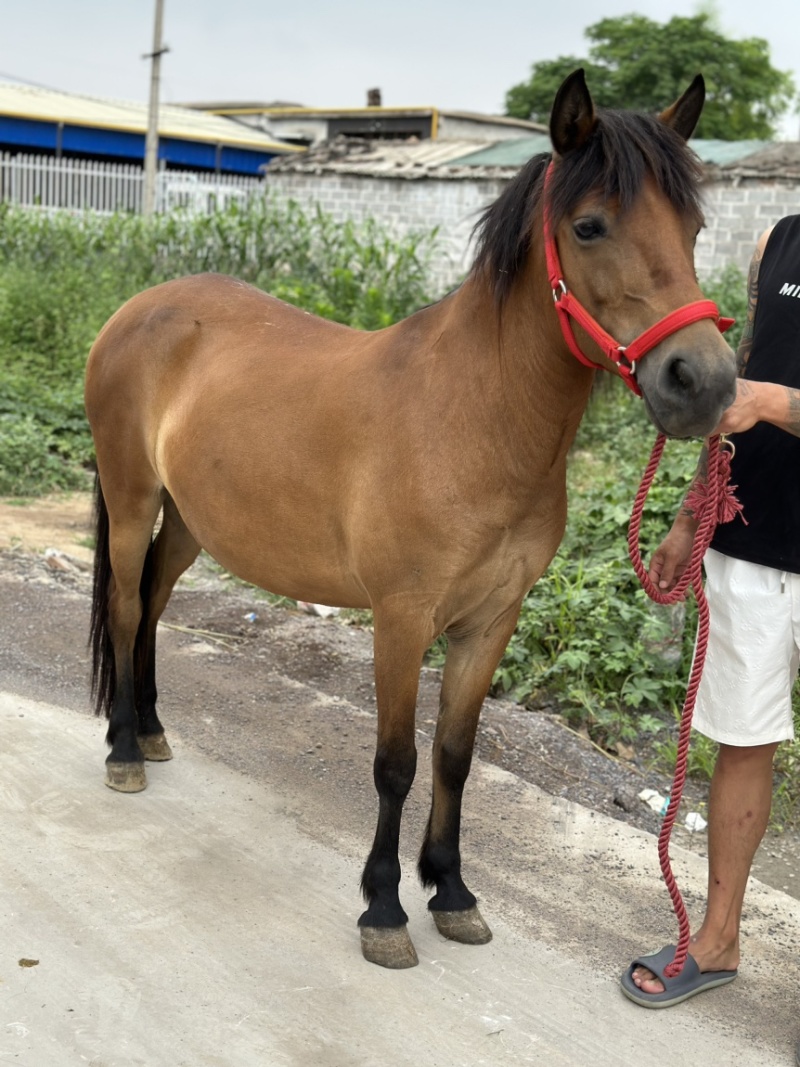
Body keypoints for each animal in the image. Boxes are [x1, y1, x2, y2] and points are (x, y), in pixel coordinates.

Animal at [85, 69, 737, 969]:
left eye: (695, 227)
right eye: (590, 225)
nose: (704, 381)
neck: (473, 420)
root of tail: (140, 307)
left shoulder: (491, 619)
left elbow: (456, 755)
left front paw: (453, 891)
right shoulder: (400, 618)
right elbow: (395, 761)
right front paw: (386, 908)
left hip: (188, 520)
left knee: (151, 603)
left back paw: (149, 728)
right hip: (133, 497)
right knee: (122, 606)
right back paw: (121, 749)